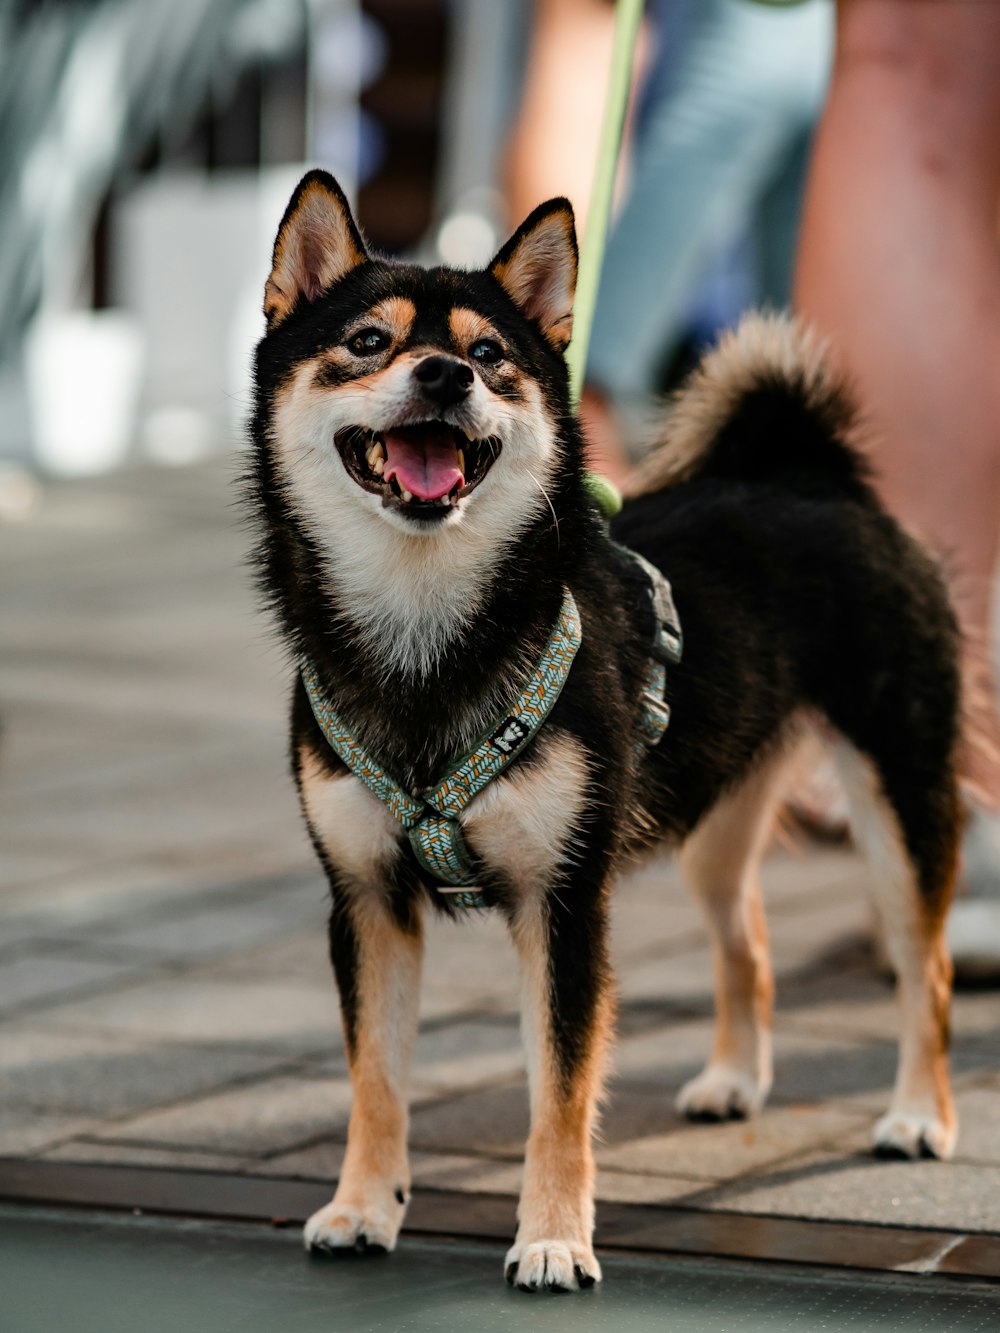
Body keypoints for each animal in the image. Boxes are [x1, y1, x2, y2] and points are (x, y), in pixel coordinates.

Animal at [249, 169, 965, 1290]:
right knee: (749, 944)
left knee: (923, 970)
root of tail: (811, 475)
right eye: (368, 342)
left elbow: (561, 1091)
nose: (445, 373)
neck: (426, 647)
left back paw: (917, 1118)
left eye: (491, 357)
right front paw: (362, 1208)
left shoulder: (565, 902)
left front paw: (552, 1239)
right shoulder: (364, 901)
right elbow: (374, 1078)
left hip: (899, 800)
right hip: (710, 815)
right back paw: (732, 1080)